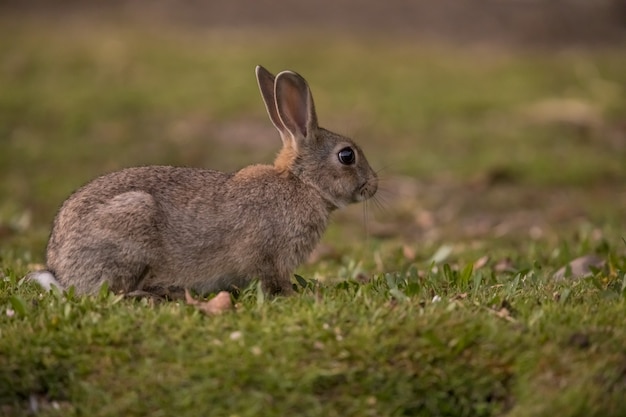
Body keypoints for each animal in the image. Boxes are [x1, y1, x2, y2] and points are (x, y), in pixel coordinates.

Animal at [28, 66, 376, 296]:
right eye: (347, 156)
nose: (373, 184)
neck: (301, 184)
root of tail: (62, 270)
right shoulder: (268, 256)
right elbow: (272, 280)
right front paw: (295, 295)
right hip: (131, 225)